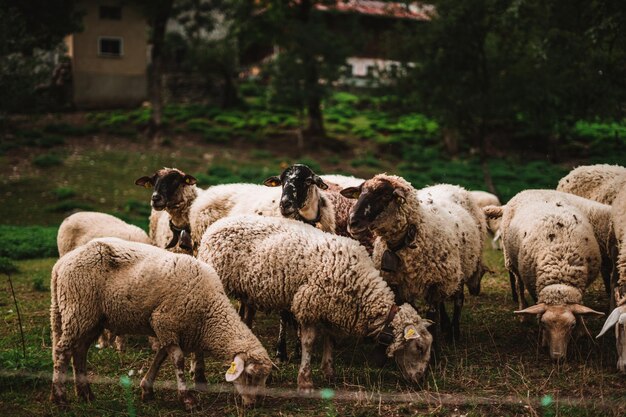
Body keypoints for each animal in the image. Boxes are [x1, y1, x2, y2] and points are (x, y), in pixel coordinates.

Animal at [49, 237, 270, 410]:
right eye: (250, 375)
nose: (256, 405)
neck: (209, 312)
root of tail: (61, 264)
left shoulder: (169, 330)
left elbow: (160, 356)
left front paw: (147, 389)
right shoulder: (164, 320)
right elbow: (178, 360)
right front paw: (187, 399)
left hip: (91, 318)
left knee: (79, 351)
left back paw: (86, 394)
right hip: (78, 310)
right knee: (62, 351)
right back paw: (60, 398)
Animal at [197, 214, 432, 390]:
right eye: (419, 347)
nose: (421, 380)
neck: (362, 287)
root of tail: (216, 225)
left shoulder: (331, 308)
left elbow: (330, 340)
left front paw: (329, 371)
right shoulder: (308, 304)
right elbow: (308, 342)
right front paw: (305, 381)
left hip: (247, 292)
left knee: (245, 319)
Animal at [338, 174, 486, 342]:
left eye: (385, 195)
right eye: (360, 193)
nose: (352, 223)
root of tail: (450, 185)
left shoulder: (435, 282)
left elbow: (432, 315)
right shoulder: (398, 284)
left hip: (461, 268)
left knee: (458, 299)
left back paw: (454, 333)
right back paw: (446, 326)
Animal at [480, 189, 608, 360]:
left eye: (572, 325)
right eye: (544, 324)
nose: (557, 357)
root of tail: (530, 190)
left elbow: (580, 309)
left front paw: (583, 332)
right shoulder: (533, 283)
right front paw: (543, 338)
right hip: (513, 264)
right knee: (519, 287)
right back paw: (523, 315)